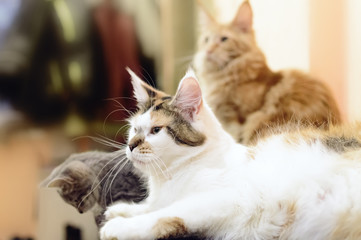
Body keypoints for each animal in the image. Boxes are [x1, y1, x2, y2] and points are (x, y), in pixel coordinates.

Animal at [98, 68, 360, 240]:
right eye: (135, 129)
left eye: (155, 130)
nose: (131, 145)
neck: (170, 176)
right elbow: (153, 206)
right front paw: (125, 208)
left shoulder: (229, 198)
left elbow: (166, 214)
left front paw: (119, 226)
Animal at [193, 0, 338, 143]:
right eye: (206, 40)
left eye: (224, 39)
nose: (208, 51)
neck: (220, 75)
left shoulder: (241, 116)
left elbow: (237, 138)